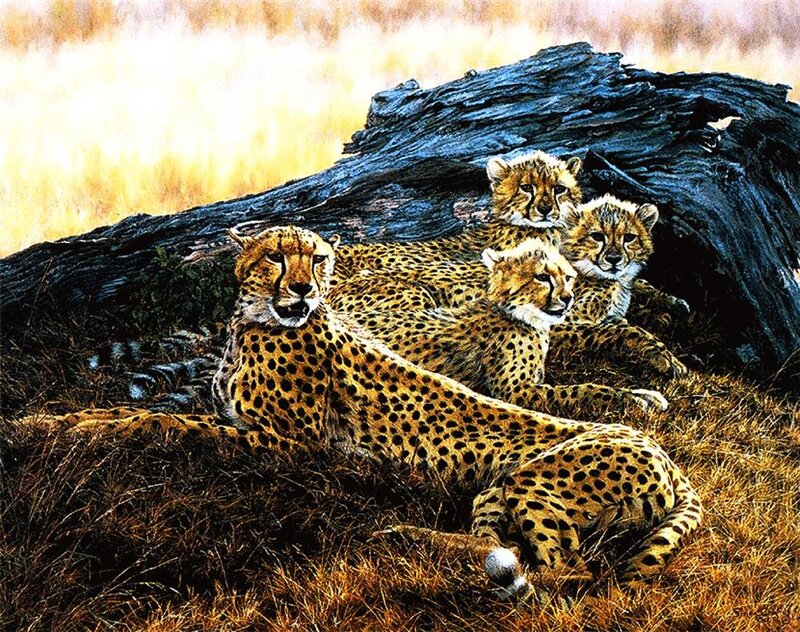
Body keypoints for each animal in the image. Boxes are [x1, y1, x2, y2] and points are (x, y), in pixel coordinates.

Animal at [342, 237, 676, 415]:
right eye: (542, 277)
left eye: (567, 277)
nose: (567, 298)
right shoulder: (516, 392)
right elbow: (584, 389)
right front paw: (641, 391)